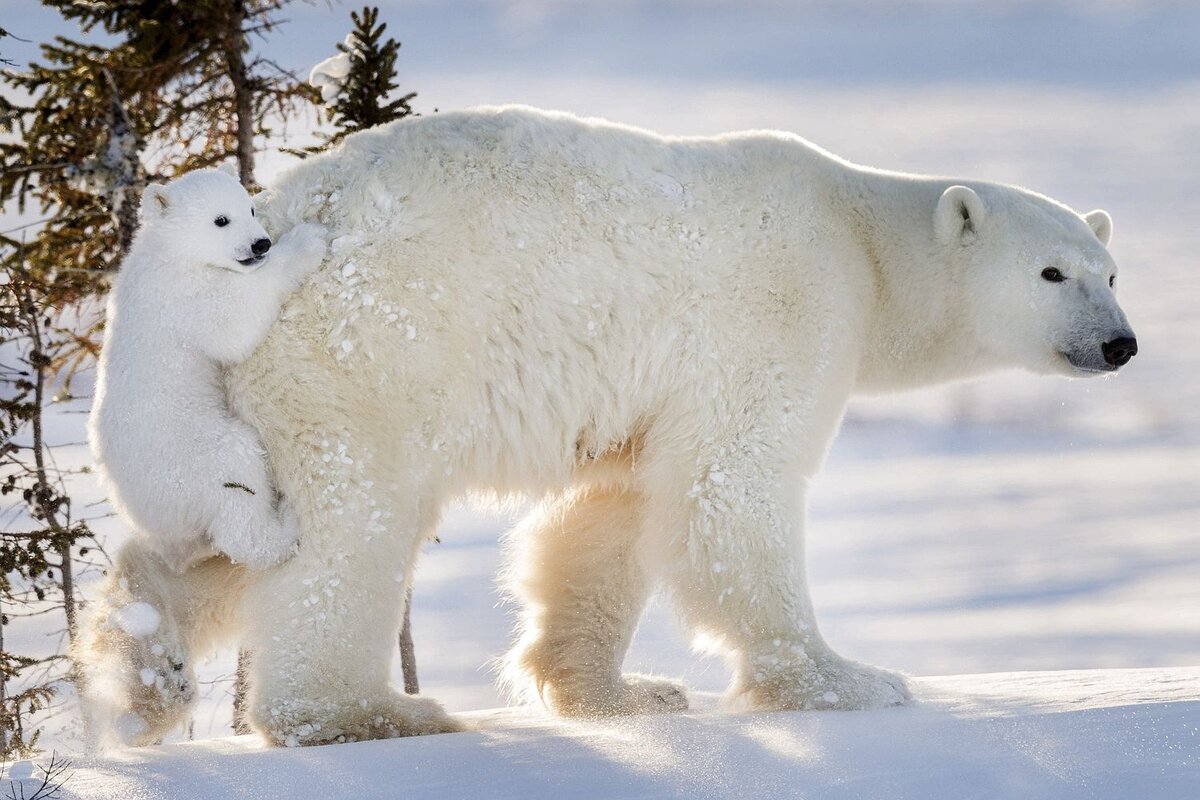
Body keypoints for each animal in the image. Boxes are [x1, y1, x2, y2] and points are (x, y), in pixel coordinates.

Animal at [84, 103, 1132, 748]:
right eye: (1052, 272)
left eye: (1109, 270)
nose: (1119, 343)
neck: (860, 238)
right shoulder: (782, 313)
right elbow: (731, 491)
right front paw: (853, 682)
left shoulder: (648, 393)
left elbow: (610, 512)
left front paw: (621, 694)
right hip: (362, 358)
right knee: (347, 531)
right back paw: (372, 712)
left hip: (236, 397)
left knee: (227, 527)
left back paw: (145, 664)